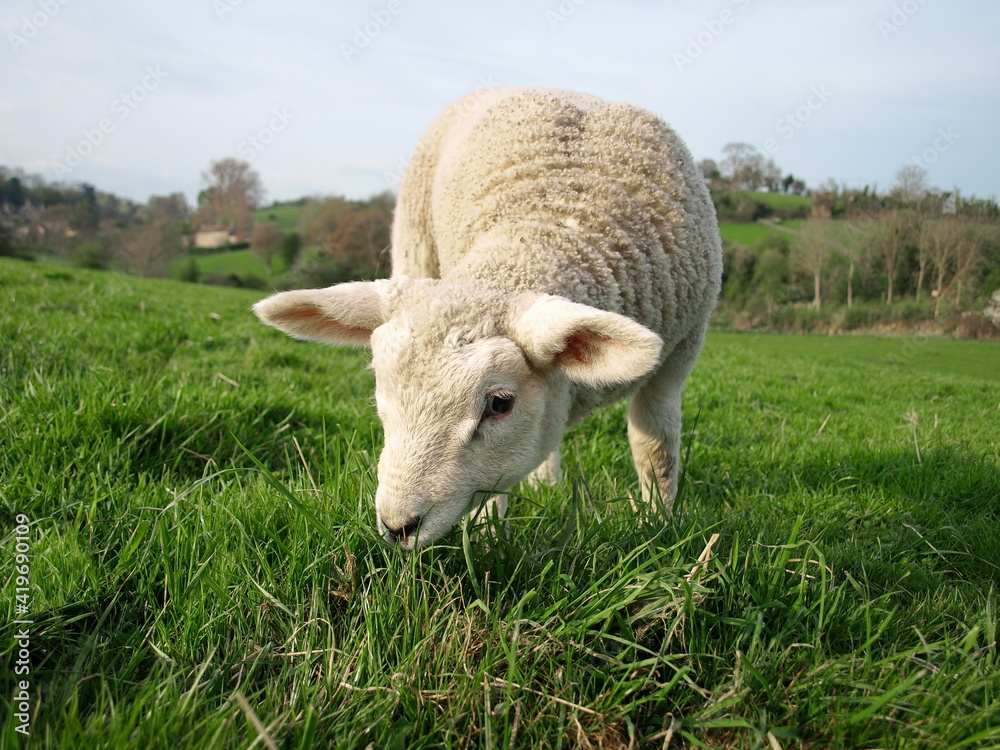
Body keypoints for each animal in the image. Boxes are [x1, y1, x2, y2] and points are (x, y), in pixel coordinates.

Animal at [250, 86, 720, 552]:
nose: (398, 527)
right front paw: (492, 536)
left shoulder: (679, 356)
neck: (546, 230)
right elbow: (495, 487)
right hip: (414, 245)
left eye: (499, 404)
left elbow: (655, 450)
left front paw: (657, 528)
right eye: (379, 388)